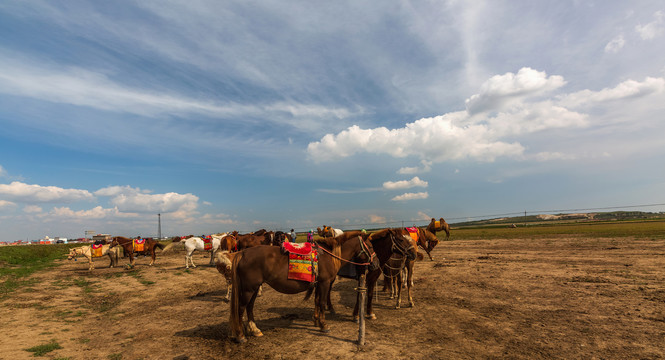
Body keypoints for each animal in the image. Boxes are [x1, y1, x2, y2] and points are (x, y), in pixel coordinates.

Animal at [228, 232, 376, 342]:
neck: (328, 255)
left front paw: (316, 321)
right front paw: (324, 325)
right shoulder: (325, 283)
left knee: (249, 307)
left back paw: (254, 330)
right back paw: (240, 335)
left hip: (254, 288)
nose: (376, 264)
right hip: (249, 289)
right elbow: (322, 302)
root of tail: (243, 253)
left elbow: (317, 301)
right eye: (370, 247)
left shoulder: (319, 283)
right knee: (241, 308)